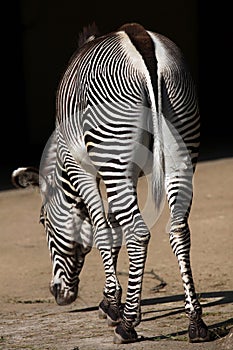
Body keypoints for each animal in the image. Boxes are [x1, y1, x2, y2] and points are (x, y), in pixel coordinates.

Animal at [11, 23, 209, 344]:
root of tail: (142, 42)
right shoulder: (128, 172)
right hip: (180, 144)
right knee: (179, 230)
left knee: (139, 233)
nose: (58, 295)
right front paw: (124, 304)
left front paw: (114, 306)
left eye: (43, 222)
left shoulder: (82, 170)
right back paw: (196, 323)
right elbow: (115, 227)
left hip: (113, 150)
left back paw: (126, 327)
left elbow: (102, 231)